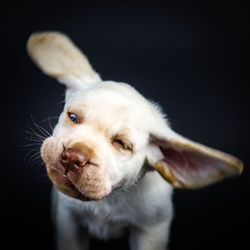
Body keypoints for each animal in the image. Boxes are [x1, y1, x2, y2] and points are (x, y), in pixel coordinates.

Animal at [26, 31, 243, 250]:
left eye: (121, 144)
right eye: (73, 117)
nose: (72, 157)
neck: (110, 199)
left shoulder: (152, 230)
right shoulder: (68, 220)